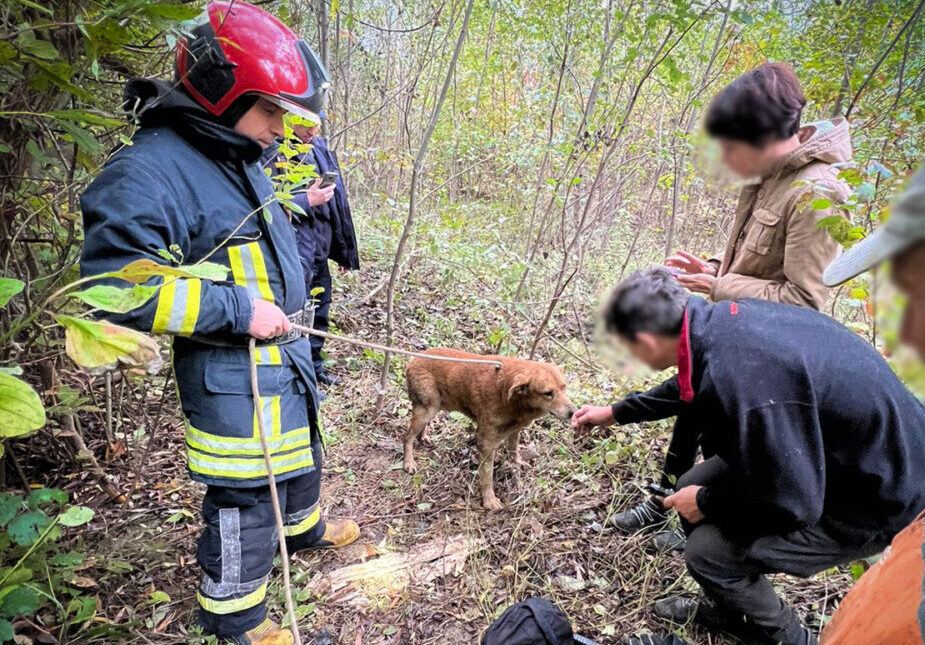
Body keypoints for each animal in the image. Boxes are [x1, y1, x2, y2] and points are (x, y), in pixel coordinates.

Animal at [402, 350, 572, 510]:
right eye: (548, 393)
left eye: (564, 387)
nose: (573, 411)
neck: (509, 396)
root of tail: (414, 359)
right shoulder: (486, 442)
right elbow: (487, 475)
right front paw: (489, 500)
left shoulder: (514, 430)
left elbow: (513, 447)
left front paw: (517, 461)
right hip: (426, 409)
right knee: (407, 436)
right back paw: (409, 462)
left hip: (433, 407)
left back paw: (423, 437)